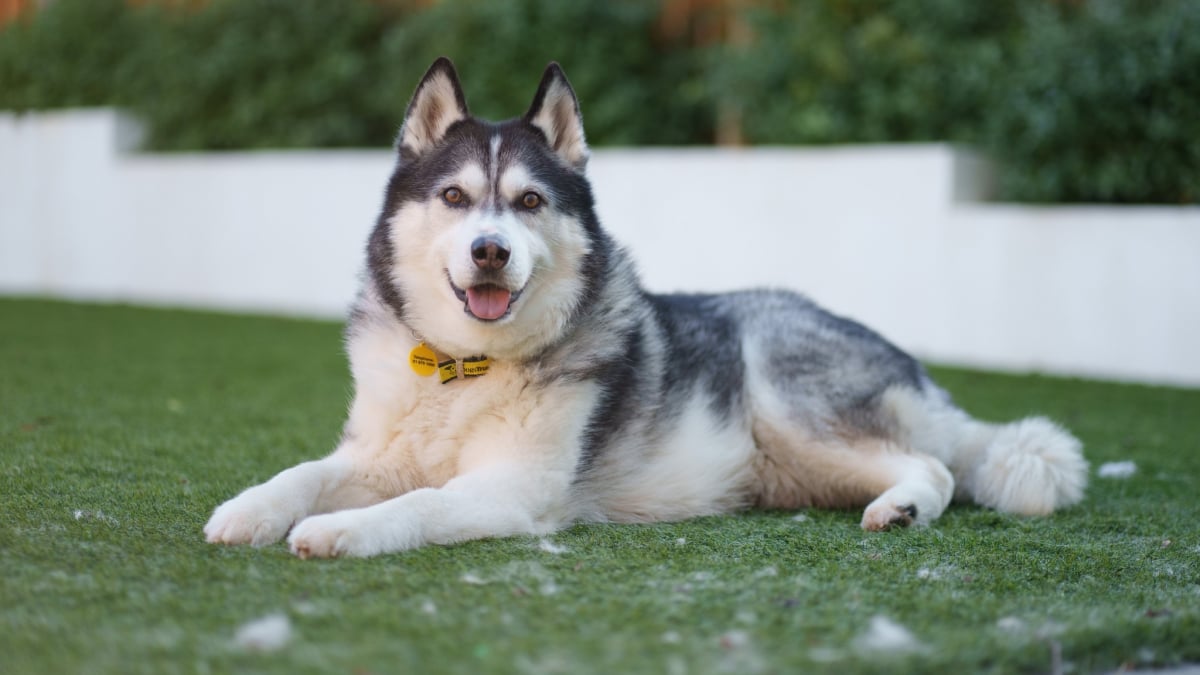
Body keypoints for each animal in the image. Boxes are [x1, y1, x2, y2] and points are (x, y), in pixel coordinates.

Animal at [204, 57, 1089, 554]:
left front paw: (339, 531)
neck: (462, 368)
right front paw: (250, 510)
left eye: (528, 202)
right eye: (454, 197)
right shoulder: (373, 453)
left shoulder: (512, 487)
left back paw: (903, 506)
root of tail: (913, 370)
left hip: (792, 404)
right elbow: (304, 471)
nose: (490, 250)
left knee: (938, 465)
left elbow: (417, 502)